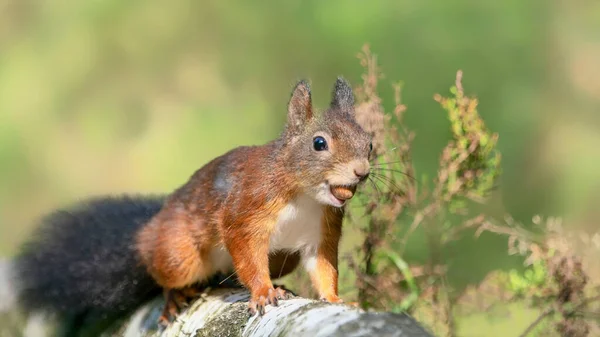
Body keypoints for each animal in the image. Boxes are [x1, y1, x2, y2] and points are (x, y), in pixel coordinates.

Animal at [15, 77, 370, 328]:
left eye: (368, 142)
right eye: (319, 143)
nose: (362, 171)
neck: (304, 195)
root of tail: (149, 230)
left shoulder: (321, 231)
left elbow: (323, 268)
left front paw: (336, 299)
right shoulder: (247, 207)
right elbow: (245, 251)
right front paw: (263, 292)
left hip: (284, 258)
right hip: (178, 253)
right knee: (166, 276)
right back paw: (175, 297)